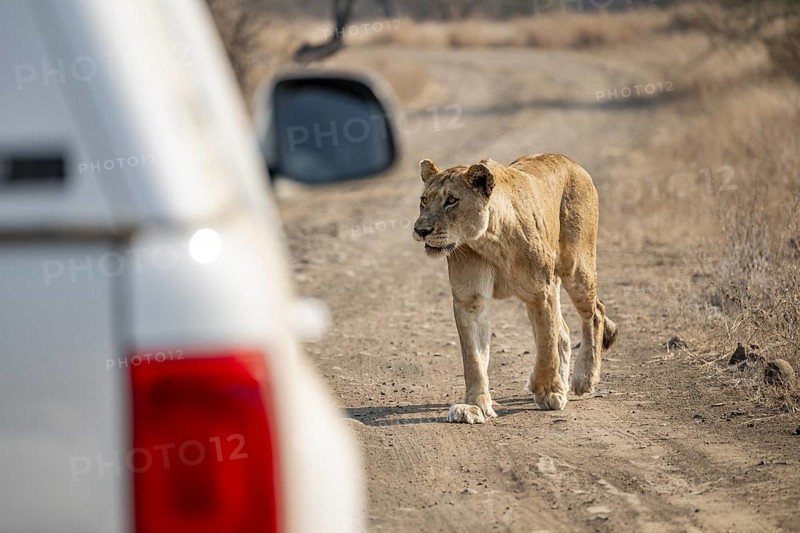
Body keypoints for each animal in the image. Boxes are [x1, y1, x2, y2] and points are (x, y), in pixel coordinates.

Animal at [413, 154, 617, 423]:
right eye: (424, 200)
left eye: (452, 201)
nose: (420, 230)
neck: (489, 239)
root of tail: (571, 162)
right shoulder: (470, 300)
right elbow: (474, 359)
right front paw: (474, 406)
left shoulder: (541, 292)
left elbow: (546, 347)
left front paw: (547, 391)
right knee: (563, 330)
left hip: (576, 267)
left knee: (595, 314)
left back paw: (583, 379)